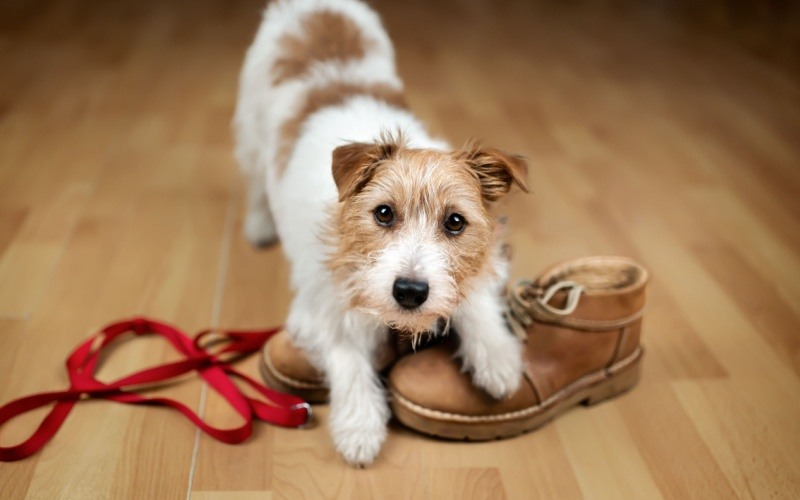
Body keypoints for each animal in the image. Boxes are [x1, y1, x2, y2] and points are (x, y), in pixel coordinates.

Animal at [234, 0, 528, 464]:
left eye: (455, 222)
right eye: (384, 213)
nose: (409, 291)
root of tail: (316, 8)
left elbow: (476, 297)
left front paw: (497, 358)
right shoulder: (323, 306)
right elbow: (349, 360)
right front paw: (359, 426)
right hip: (250, 131)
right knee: (256, 179)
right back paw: (260, 223)